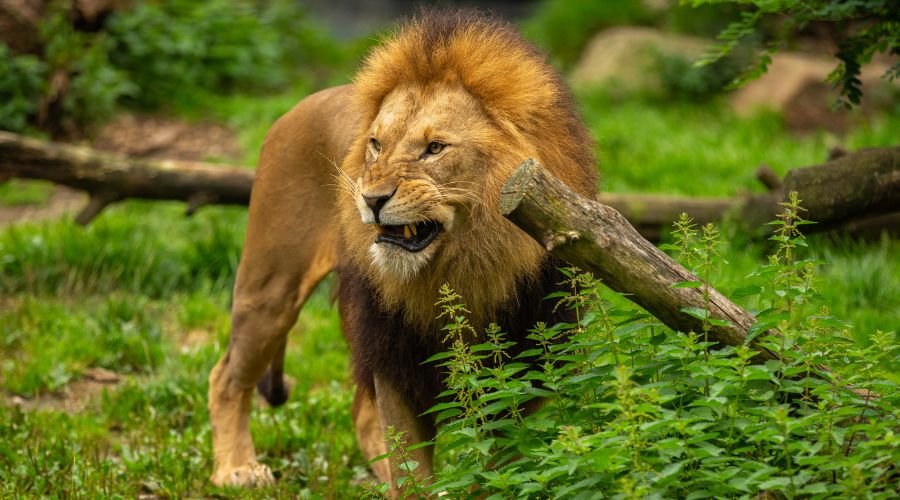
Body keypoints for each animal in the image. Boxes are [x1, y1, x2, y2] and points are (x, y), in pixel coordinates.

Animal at [207, 8, 598, 493]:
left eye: (434, 148)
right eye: (376, 145)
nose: (370, 199)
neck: (464, 271)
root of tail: (301, 104)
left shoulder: (530, 371)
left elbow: (499, 466)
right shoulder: (393, 357)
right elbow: (411, 471)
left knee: (359, 412)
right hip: (270, 287)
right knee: (226, 377)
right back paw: (237, 468)